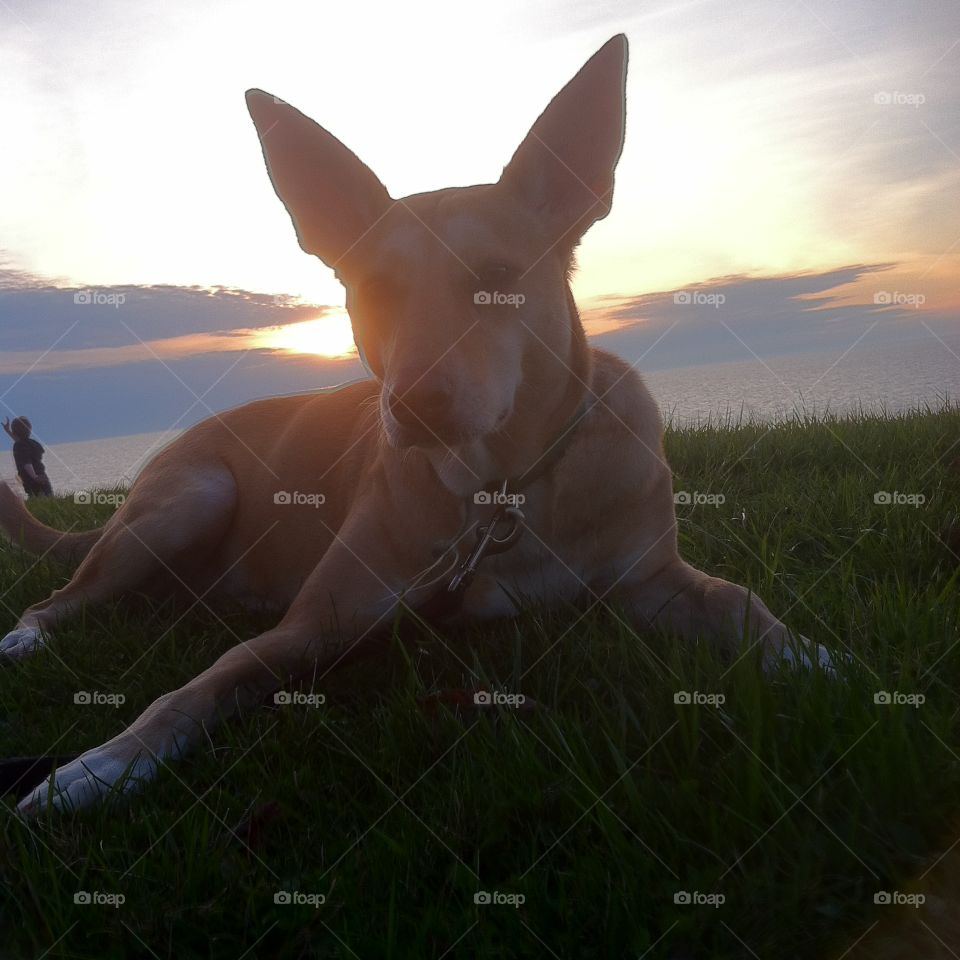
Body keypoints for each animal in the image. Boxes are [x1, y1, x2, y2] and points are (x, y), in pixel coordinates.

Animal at [0, 39, 828, 816]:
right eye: (374, 288)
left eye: (497, 277)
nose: (417, 406)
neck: (502, 491)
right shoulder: (313, 627)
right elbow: (201, 685)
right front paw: (101, 766)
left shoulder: (650, 579)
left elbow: (738, 601)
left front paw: (816, 661)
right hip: (190, 497)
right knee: (59, 598)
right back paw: (30, 635)